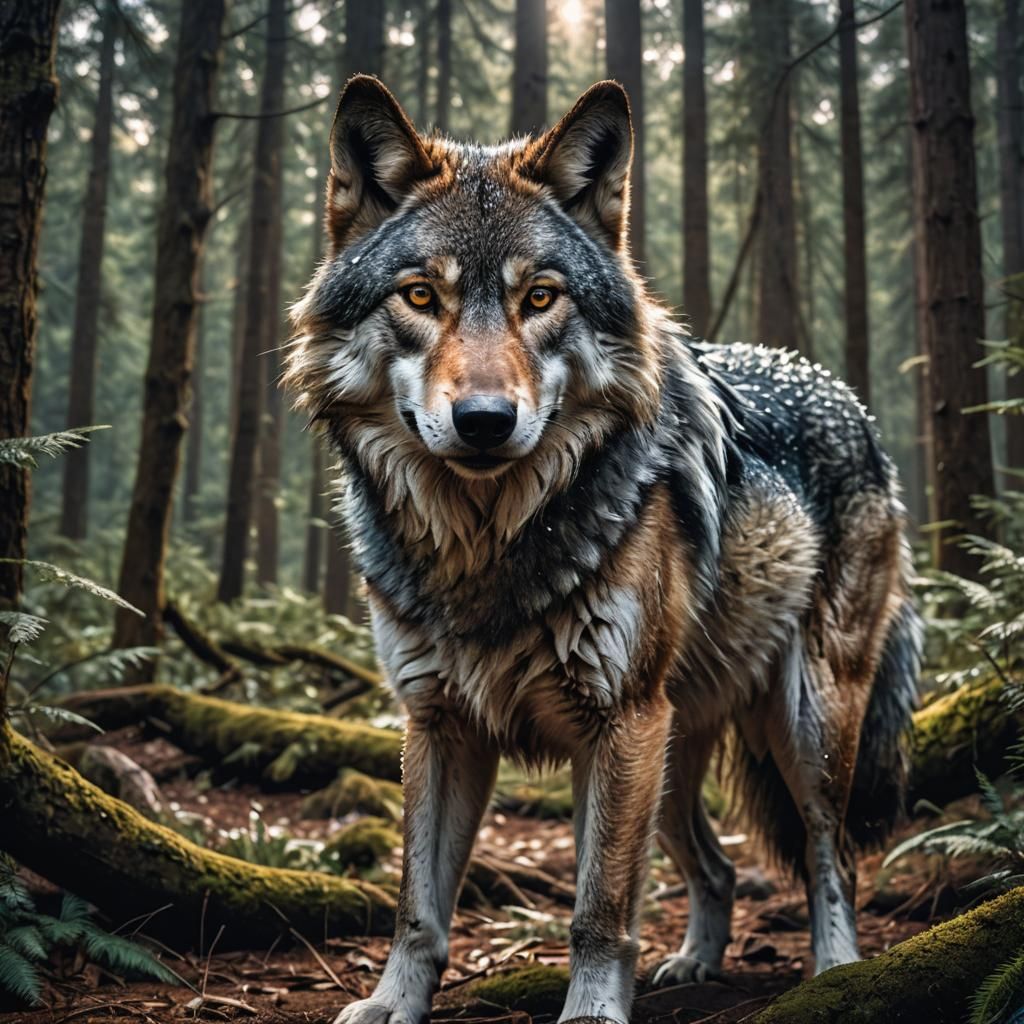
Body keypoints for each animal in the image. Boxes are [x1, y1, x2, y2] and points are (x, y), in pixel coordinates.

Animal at [283, 76, 921, 1024]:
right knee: (717, 866)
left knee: (827, 854)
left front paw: (588, 1011)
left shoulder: (619, 720)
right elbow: (417, 905)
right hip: (671, 750)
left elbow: (599, 908)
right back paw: (694, 964)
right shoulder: (438, 722)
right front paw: (393, 1003)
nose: (484, 421)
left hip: (802, 720)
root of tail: (854, 403)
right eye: (421, 298)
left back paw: (837, 972)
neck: (485, 547)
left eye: (541, 298)